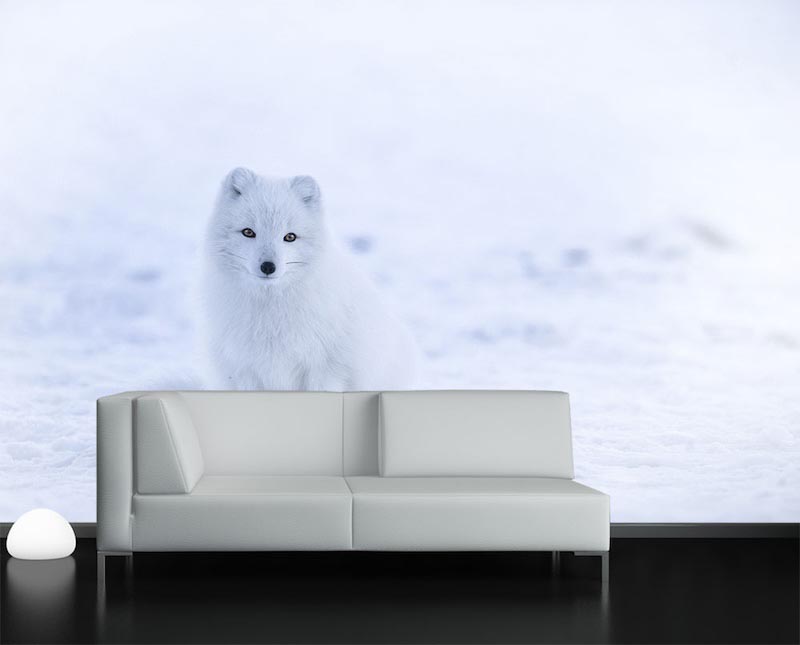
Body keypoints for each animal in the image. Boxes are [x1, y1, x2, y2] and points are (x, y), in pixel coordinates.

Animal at [202, 167, 419, 391]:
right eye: (248, 232)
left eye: (290, 237)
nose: (268, 267)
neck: (271, 310)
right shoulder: (244, 370)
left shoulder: (325, 368)